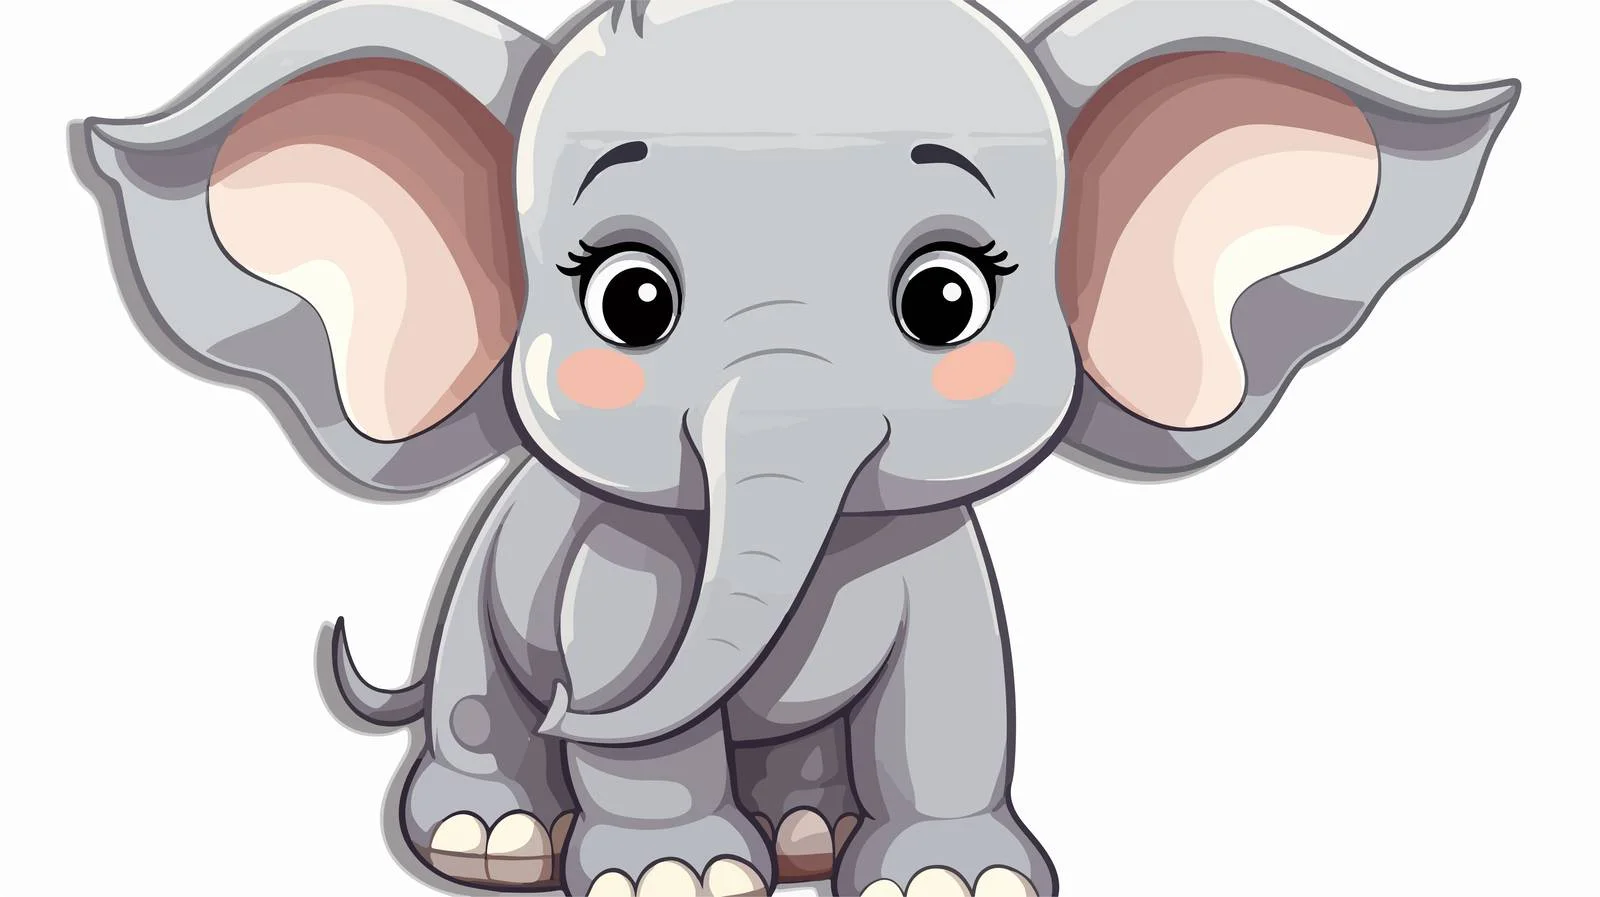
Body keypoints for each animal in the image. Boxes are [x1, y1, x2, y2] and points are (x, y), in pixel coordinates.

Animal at [73, 0, 1516, 894]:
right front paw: (677, 878)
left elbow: (956, 697)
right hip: (476, 624)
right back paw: (502, 839)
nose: (569, 704)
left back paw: (813, 836)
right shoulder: (621, 572)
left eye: (946, 298)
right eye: (629, 301)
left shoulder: (942, 567)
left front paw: (954, 882)